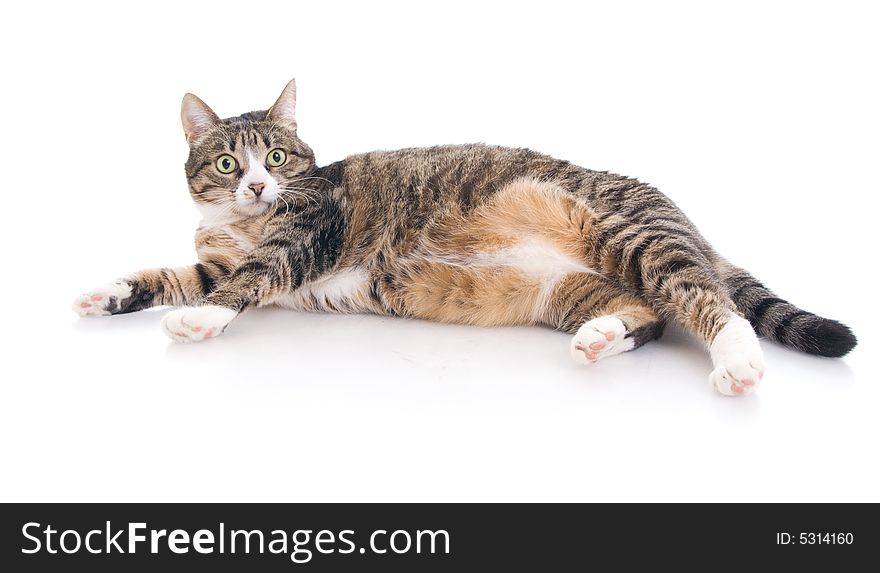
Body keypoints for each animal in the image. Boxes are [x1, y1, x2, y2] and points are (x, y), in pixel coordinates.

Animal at [72, 79, 856, 394]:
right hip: (565, 289)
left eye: (281, 157)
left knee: (704, 297)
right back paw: (603, 337)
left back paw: (740, 363)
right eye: (229, 163)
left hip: (627, 233)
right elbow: (180, 273)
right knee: (648, 313)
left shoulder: (308, 235)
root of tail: (677, 214)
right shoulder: (210, 255)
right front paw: (108, 295)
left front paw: (200, 319)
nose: (260, 185)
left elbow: (246, 279)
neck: (244, 222)